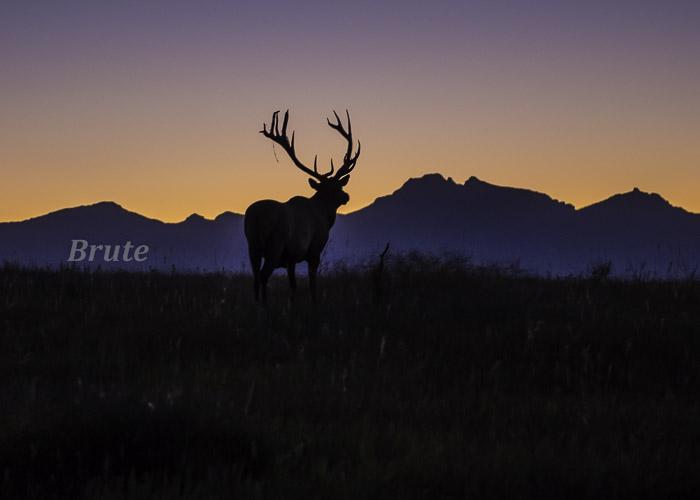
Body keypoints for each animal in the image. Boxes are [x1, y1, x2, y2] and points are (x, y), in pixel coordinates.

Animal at [243, 111, 360, 302]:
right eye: (336, 187)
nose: (346, 196)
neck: (325, 216)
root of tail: (256, 218)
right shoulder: (314, 250)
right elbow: (312, 285)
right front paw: (314, 303)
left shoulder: (291, 258)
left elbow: (293, 286)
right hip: (275, 245)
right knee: (263, 275)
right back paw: (264, 306)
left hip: (252, 246)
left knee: (255, 277)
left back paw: (257, 304)